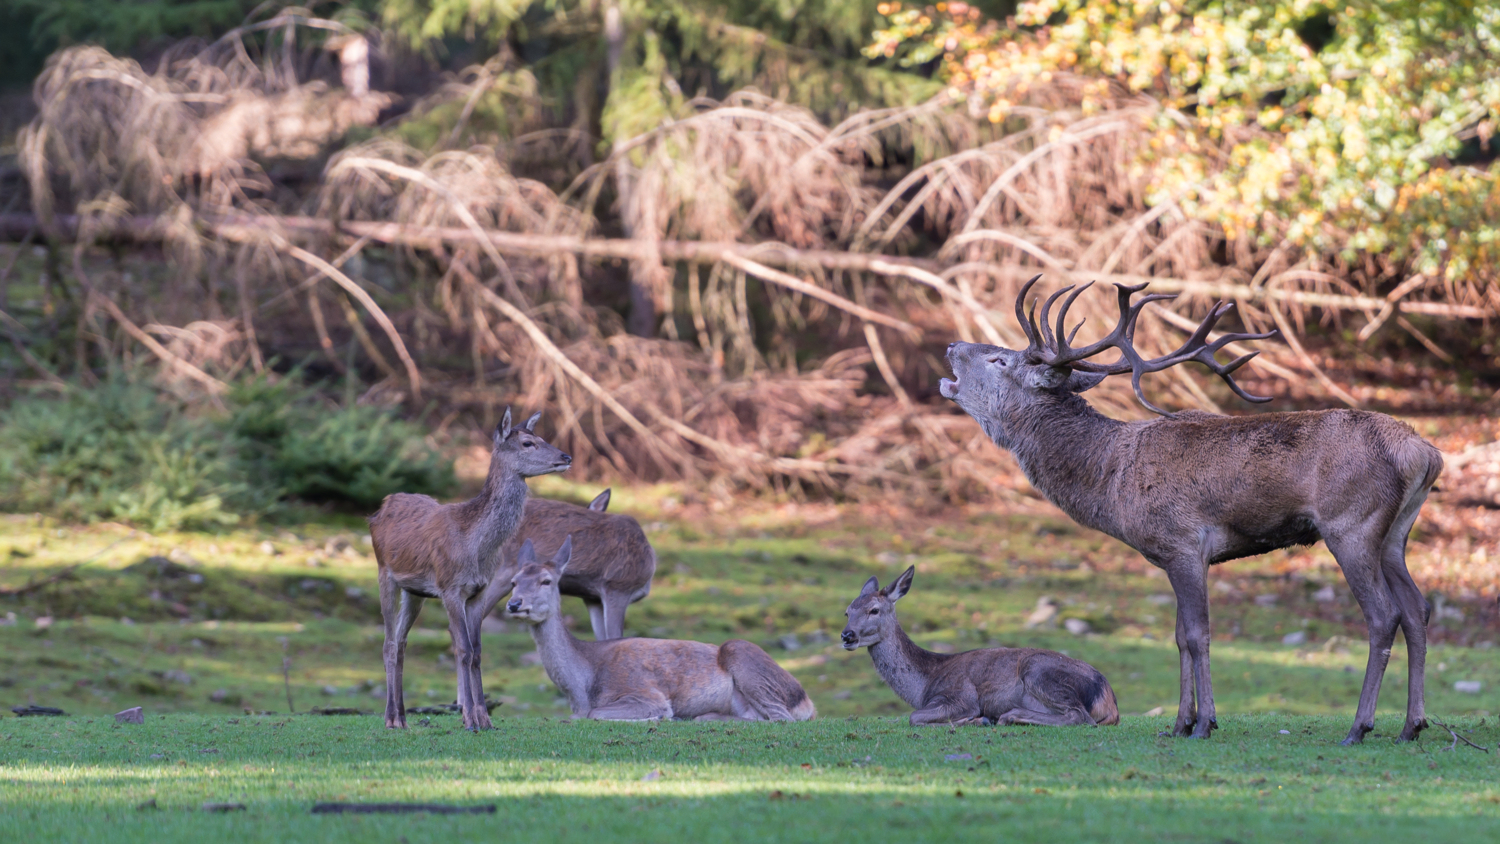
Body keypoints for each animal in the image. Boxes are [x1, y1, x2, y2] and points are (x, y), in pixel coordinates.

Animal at [366, 407, 570, 725]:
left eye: (541, 437)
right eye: (528, 443)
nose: (566, 457)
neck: (475, 545)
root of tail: (380, 508)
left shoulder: (479, 591)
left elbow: (477, 652)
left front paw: (484, 718)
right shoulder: (450, 588)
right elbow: (462, 648)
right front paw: (469, 719)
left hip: (415, 591)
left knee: (401, 643)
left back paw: (402, 716)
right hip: (384, 573)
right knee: (388, 644)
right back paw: (391, 719)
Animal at [504, 539, 816, 722]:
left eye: (546, 581)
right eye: (513, 581)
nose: (514, 604)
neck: (582, 688)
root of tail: (806, 700)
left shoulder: (644, 693)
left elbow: (594, 714)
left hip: (745, 658)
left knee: (781, 718)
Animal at [840, 566, 1122, 725]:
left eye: (874, 610)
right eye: (847, 611)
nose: (847, 635)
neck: (923, 685)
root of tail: (1109, 699)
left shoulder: (960, 695)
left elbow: (913, 717)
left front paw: (974, 720)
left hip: (1040, 672)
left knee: (1080, 717)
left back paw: (1007, 716)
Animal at [942, 274, 1446, 743]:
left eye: (999, 359)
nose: (951, 345)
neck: (1110, 479)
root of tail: (1424, 452)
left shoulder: (1183, 543)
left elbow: (1198, 635)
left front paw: (1204, 722)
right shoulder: (1171, 556)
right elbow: (1179, 637)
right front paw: (1180, 723)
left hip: (1351, 525)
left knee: (1383, 615)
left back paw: (1360, 726)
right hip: (1395, 534)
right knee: (1417, 608)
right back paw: (1411, 725)